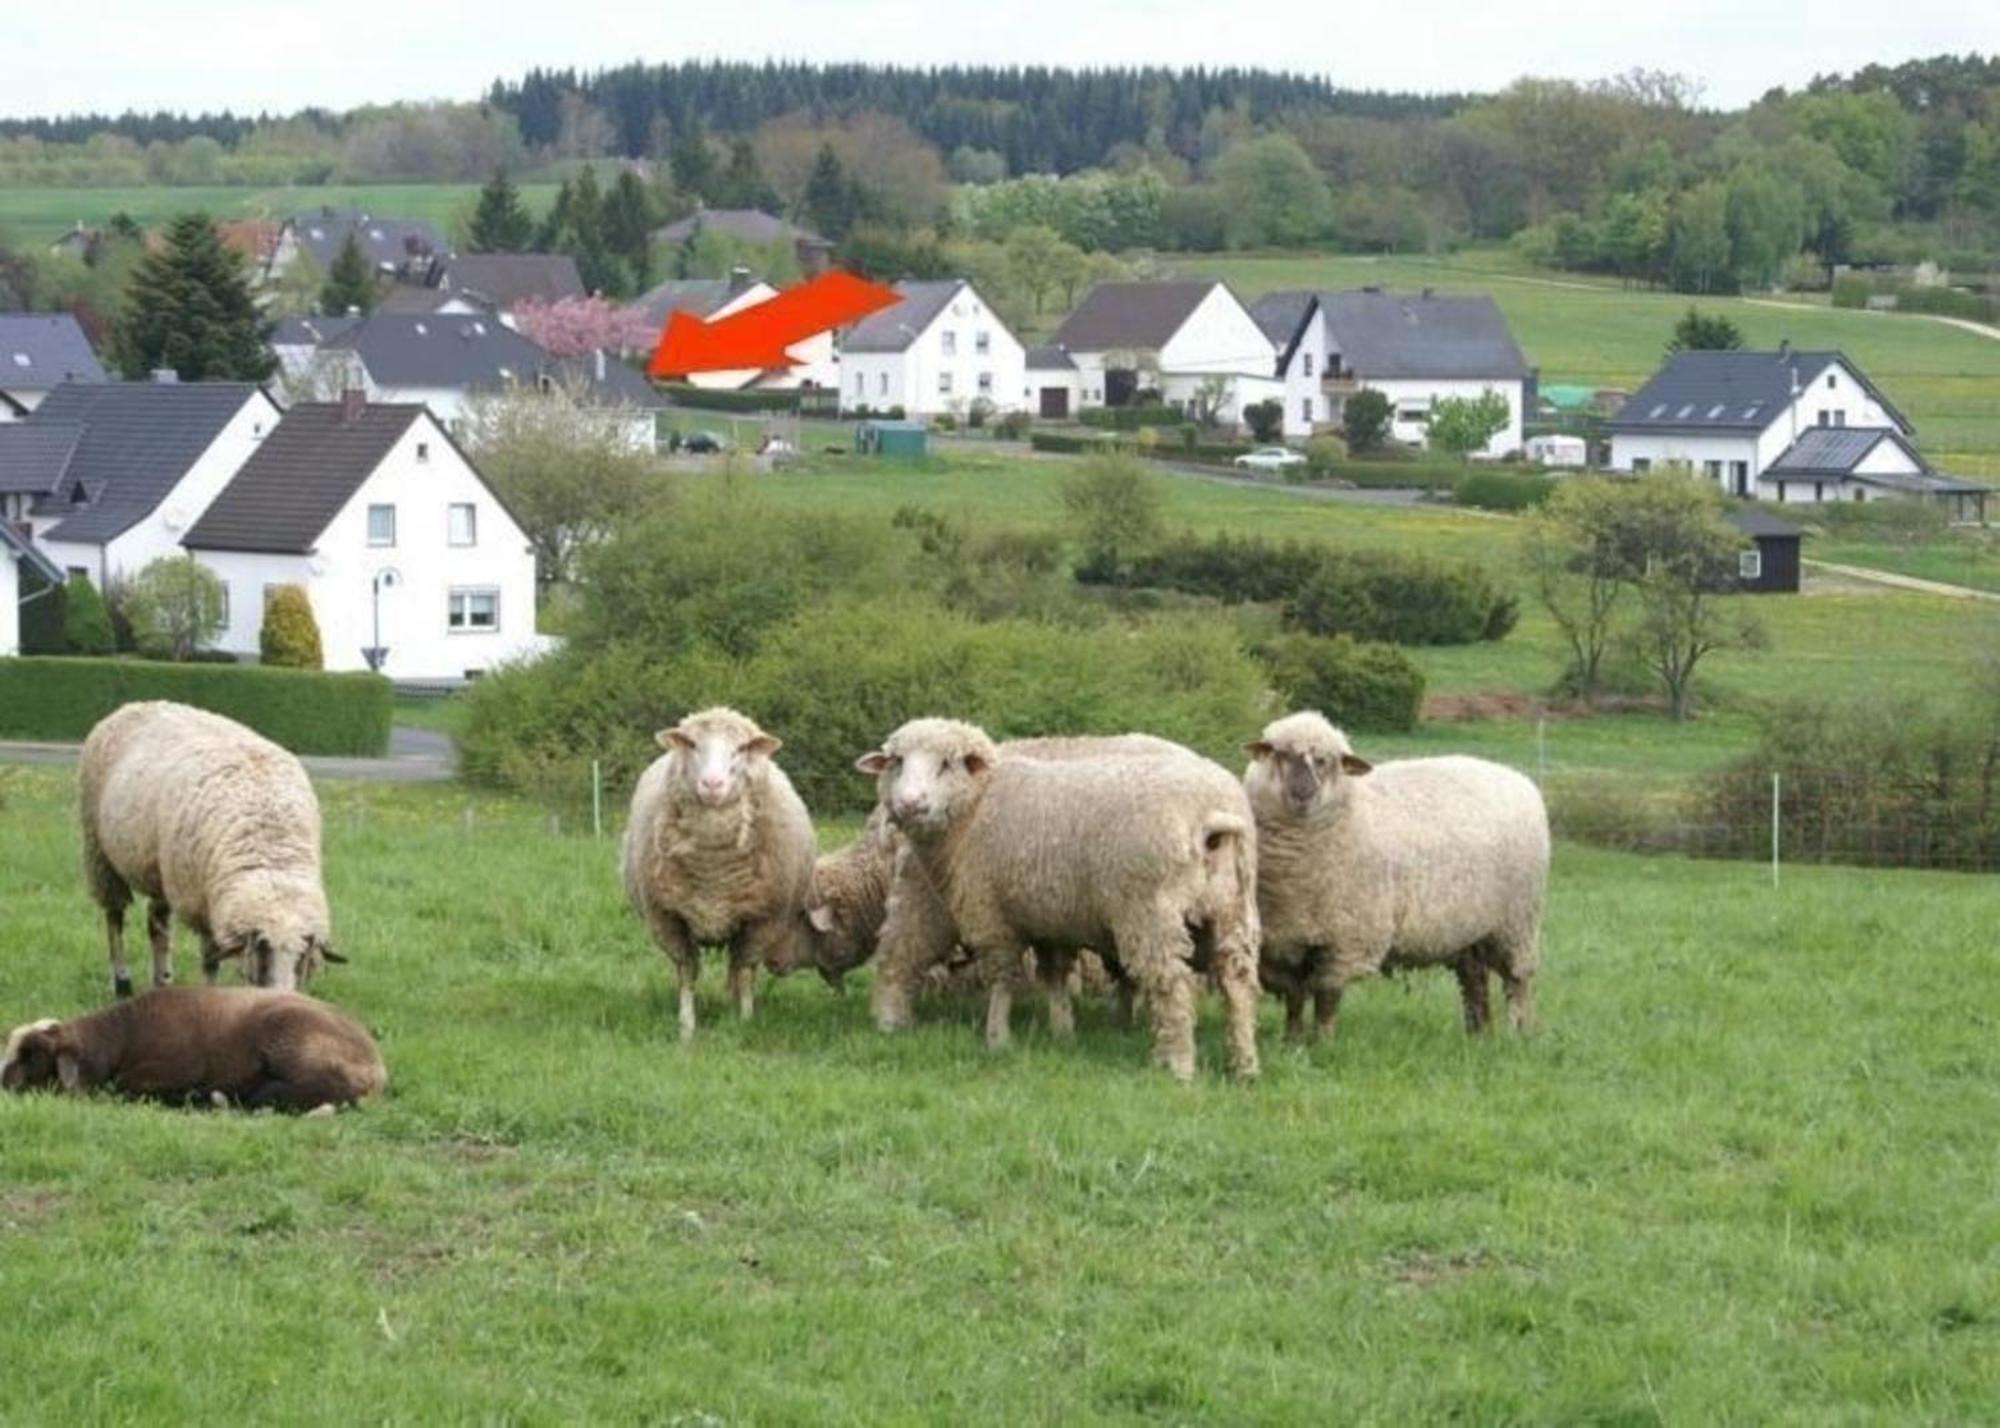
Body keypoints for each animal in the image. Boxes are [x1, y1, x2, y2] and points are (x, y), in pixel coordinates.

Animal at [0, 984, 386, 1104]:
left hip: (291, 1040)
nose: (3, 1085)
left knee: (322, 1089)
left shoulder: (162, 1072)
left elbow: (129, 1087)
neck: (119, 1038)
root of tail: (377, 1066)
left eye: (32, 1055)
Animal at [78, 700, 342, 992]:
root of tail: (135, 705)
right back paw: (122, 981)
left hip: (160, 867)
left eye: (302, 959)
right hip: (98, 851)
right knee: (115, 917)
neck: (271, 852)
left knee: (157, 924)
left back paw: (162, 981)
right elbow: (210, 961)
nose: (280, 997)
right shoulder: (202, 904)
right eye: (262, 951)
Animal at [620, 708, 816, 1040]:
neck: (713, 873)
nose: (712, 784)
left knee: (736, 968)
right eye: (693, 744)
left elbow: (747, 972)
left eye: (740, 749)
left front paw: (745, 1021)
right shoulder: (669, 918)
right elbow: (686, 974)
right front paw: (686, 1026)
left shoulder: (762, 920)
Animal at [864, 716, 1264, 1072]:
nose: (909, 804)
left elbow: (1003, 979)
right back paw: (1244, 1065)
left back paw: (1177, 1064)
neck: (977, 804)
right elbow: (1055, 974)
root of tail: (1211, 813)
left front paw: (997, 1038)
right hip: (1233, 908)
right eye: (896, 762)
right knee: (1238, 981)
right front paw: (1062, 1033)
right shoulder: (1049, 917)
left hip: (1150, 910)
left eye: (946, 764)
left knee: (1172, 984)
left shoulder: (993, 914)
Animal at [1240, 708, 1552, 1032]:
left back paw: (1516, 1031)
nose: (1303, 792)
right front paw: (1292, 1039)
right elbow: (1295, 999)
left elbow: (1327, 998)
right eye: (1280, 754)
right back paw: (1479, 1033)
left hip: (1518, 923)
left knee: (1518, 980)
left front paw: (1323, 1039)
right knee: (1475, 979)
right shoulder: (1282, 940)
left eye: (1328, 761)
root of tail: (1519, 779)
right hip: (1471, 929)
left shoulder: (1349, 939)